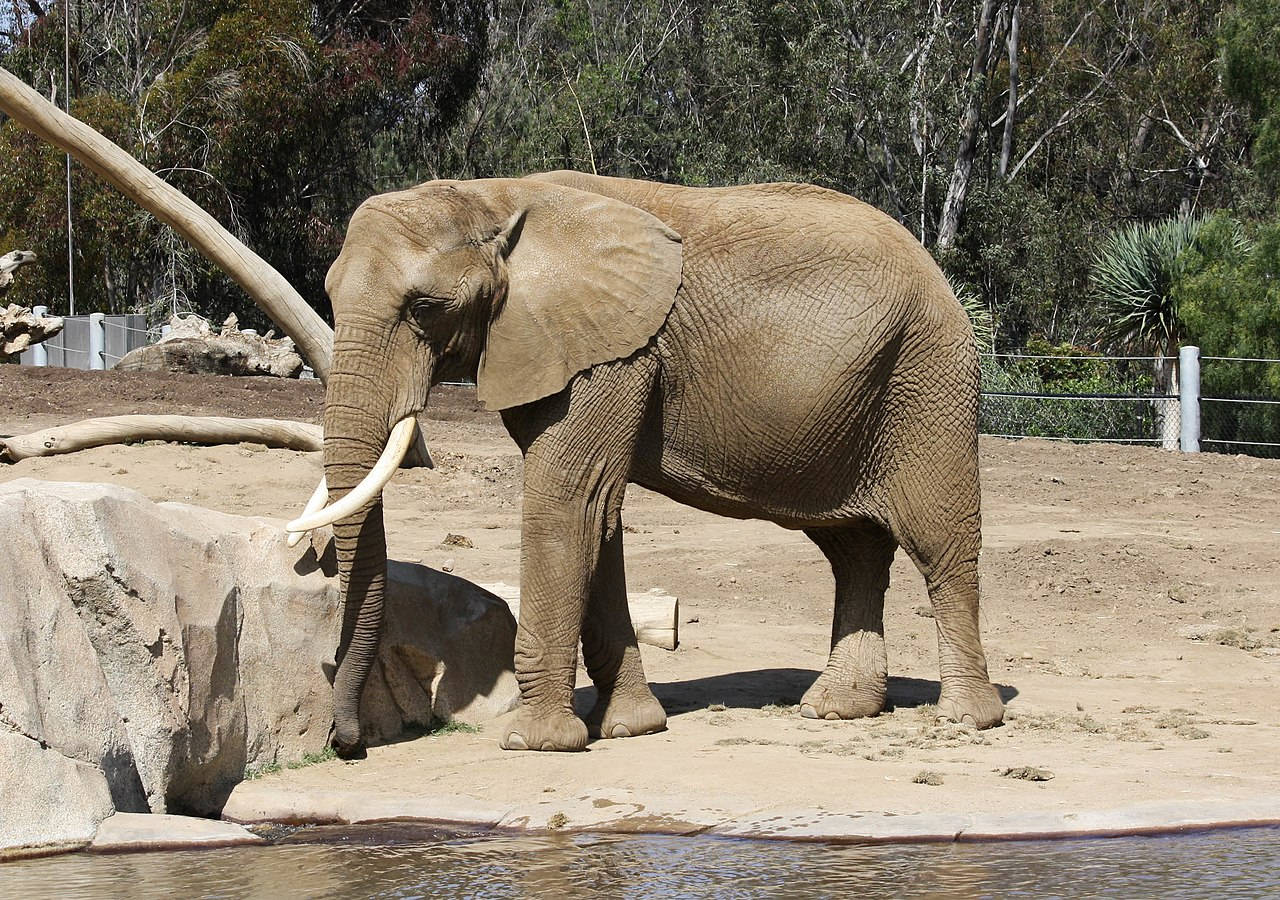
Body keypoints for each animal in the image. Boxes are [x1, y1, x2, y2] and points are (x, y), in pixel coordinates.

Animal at [285, 168, 1003, 752]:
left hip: (928, 376)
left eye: (425, 308)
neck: (497, 195)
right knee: (852, 550)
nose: (347, 744)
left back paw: (967, 719)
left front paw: (534, 743)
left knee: (939, 544)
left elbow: (566, 501)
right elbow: (598, 516)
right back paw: (835, 711)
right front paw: (632, 727)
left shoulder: (611, 349)